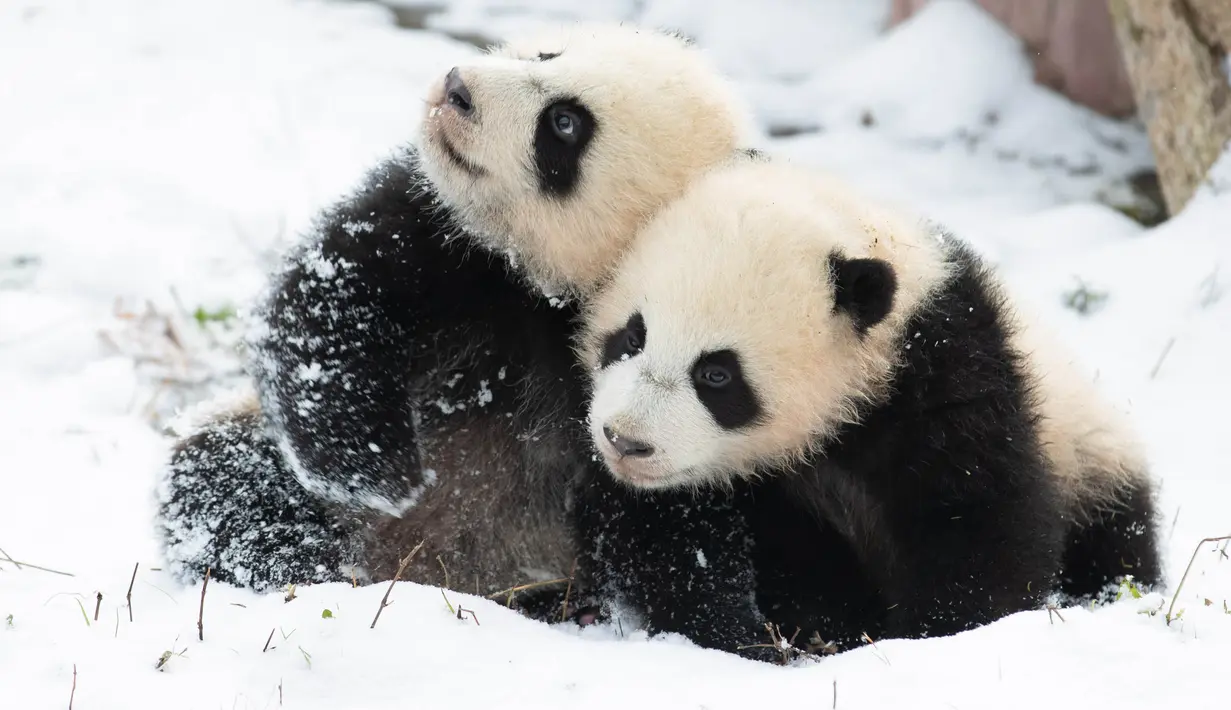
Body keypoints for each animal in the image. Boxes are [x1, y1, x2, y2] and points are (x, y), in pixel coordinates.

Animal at [156, 22, 757, 602]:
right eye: (547, 55)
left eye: (565, 124)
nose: (457, 87)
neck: (548, 291)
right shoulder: (442, 235)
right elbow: (333, 297)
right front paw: (378, 471)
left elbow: (672, 516)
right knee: (222, 481)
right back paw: (299, 562)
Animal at [573, 158, 1161, 660]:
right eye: (632, 336)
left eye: (717, 374)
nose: (625, 441)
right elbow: (671, 534)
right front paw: (749, 633)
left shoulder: (948, 376)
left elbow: (980, 518)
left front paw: (939, 635)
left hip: (1088, 450)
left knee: (1117, 539)